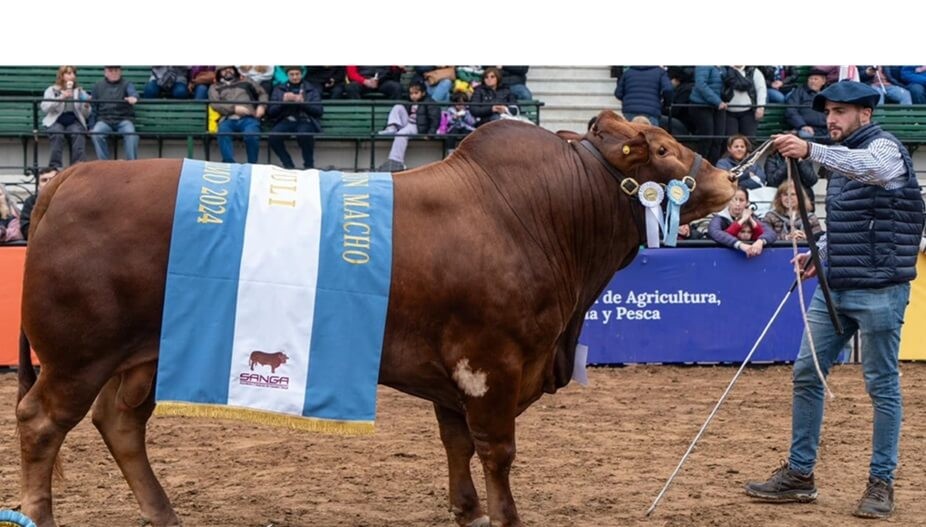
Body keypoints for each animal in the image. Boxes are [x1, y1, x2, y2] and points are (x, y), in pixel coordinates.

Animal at [16, 109, 740, 524]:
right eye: (664, 151)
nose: (730, 180)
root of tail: (71, 177)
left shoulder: (456, 376)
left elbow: (456, 444)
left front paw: (466, 509)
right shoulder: (492, 363)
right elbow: (496, 450)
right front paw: (503, 514)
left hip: (142, 356)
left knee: (120, 424)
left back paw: (164, 512)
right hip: (78, 356)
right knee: (41, 424)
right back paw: (44, 514)